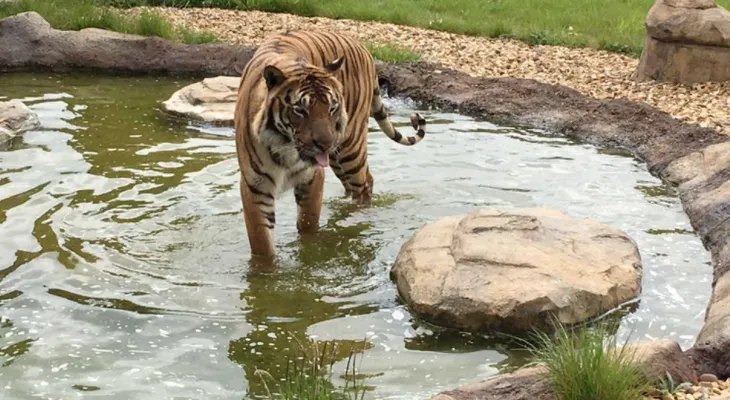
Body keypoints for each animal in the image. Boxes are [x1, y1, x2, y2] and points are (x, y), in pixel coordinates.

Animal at [233, 30, 427, 261]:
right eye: (300, 110)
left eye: (332, 108)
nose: (325, 144)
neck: (286, 147)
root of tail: (362, 47)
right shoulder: (255, 185)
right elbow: (261, 243)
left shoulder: (313, 176)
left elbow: (308, 226)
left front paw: (310, 254)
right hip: (337, 158)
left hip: (350, 149)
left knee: (364, 185)